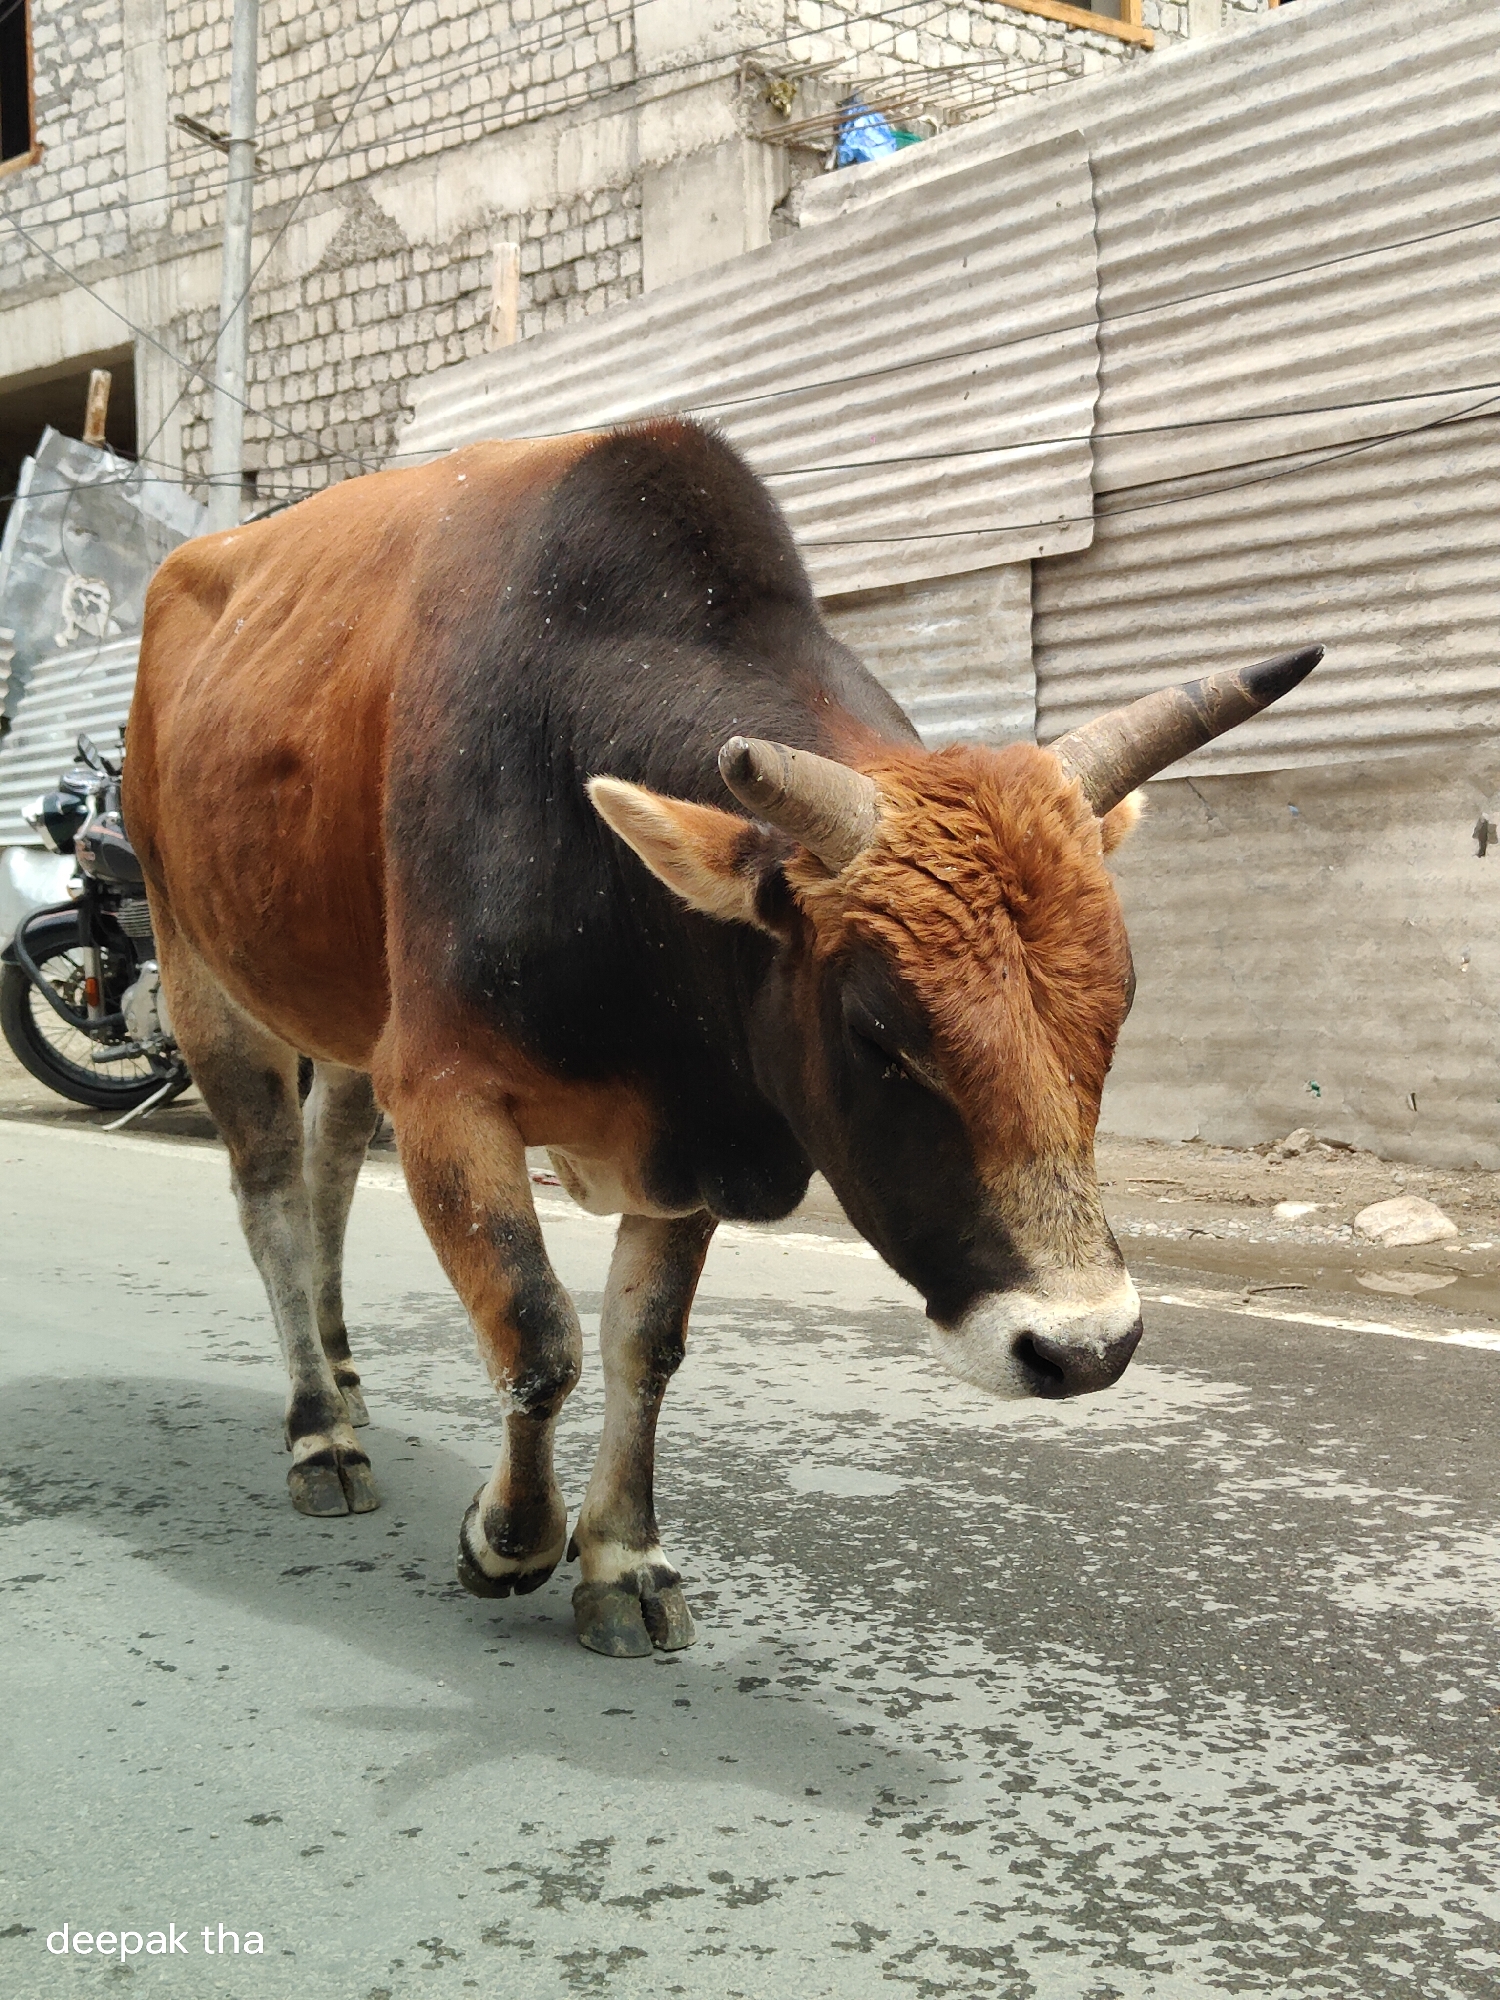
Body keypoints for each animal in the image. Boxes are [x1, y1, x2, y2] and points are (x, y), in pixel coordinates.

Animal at [124, 418, 1318, 1658]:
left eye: (1122, 1002)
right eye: (877, 1031)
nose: (1083, 1347)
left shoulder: (690, 1123)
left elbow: (643, 1343)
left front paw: (624, 1557)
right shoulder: (444, 1086)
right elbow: (537, 1332)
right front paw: (510, 1537)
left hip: (345, 1017)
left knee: (325, 1171)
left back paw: (345, 1372)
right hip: (201, 968)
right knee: (270, 1191)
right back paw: (320, 1427)